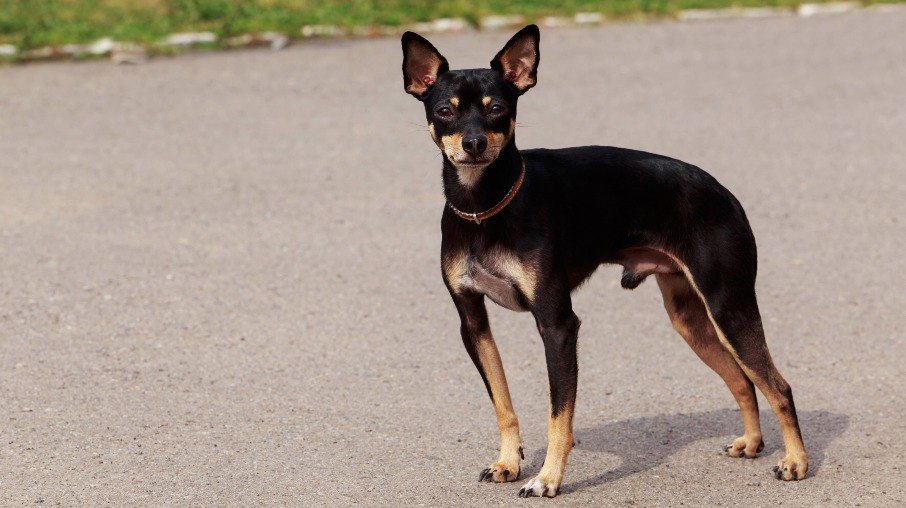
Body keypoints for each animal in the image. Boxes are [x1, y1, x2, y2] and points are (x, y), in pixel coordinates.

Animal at [400, 25, 808, 498]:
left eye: (497, 109)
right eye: (444, 110)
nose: (474, 143)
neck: (485, 209)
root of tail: (725, 194)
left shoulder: (557, 325)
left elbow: (559, 416)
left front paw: (547, 479)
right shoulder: (473, 322)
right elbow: (504, 403)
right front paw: (508, 462)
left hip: (729, 307)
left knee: (778, 386)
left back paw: (796, 461)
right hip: (689, 318)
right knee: (743, 381)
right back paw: (752, 442)